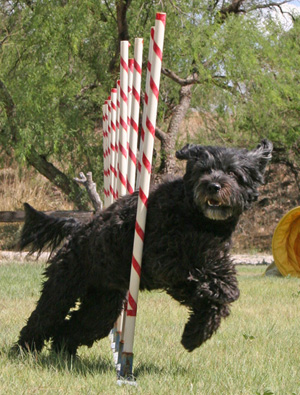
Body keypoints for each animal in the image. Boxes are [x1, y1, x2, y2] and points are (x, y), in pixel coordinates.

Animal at [12, 140, 274, 356]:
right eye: (203, 170)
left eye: (232, 172)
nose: (213, 186)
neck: (197, 217)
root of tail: (78, 227)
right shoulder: (164, 262)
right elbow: (209, 284)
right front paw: (198, 322)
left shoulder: (212, 257)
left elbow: (222, 284)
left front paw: (195, 333)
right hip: (64, 285)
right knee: (43, 317)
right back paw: (23, 351)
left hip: (103, 304)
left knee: (74, 326)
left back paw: (63, 353)